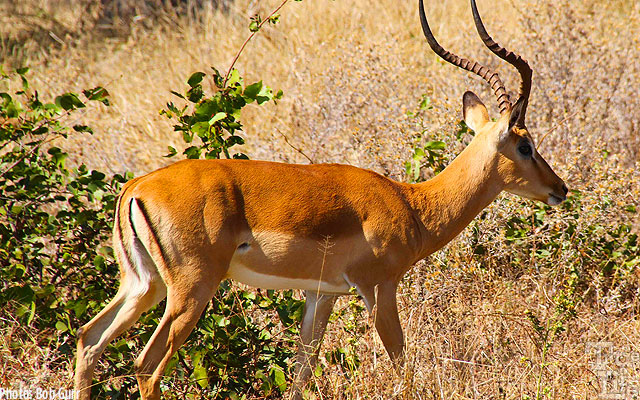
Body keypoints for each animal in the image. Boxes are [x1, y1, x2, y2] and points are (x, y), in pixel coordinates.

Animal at [74, 0, 568, 398]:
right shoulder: (378, 287)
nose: (560, 189)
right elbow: (402, 365)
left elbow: (301, 373)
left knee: (88, 340)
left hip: (143, 284)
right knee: (145, 365)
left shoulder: (321, 294)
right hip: (191, 288)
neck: (411, 204)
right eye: (525, 145)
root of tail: (136, 189)